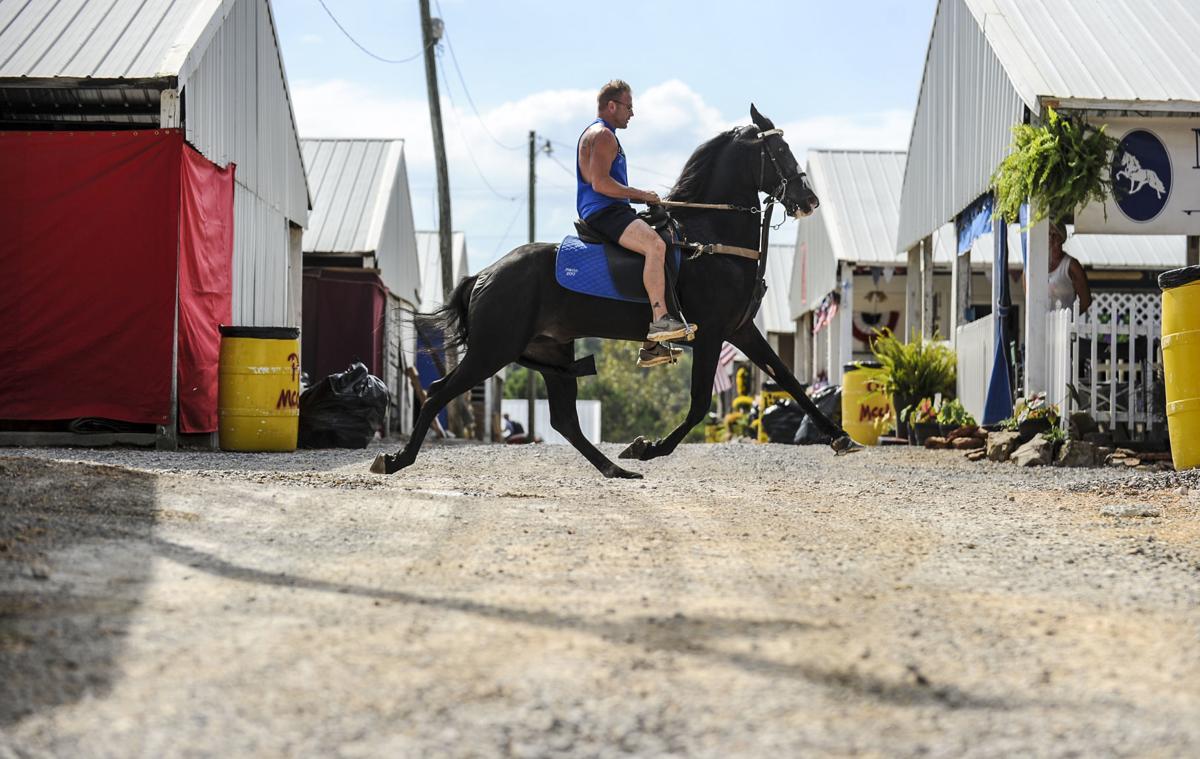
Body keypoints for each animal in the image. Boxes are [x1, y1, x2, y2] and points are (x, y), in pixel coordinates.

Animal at [371, 104, 861, 479]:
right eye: (778, 150)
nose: (809, 200)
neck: (711, 238)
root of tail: (485, 275)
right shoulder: (711, 334)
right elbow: (700, 404)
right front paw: (649, 447)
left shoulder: (740, 331)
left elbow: (789, 380)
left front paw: (840, 436)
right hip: (494, 349)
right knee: (439, 392)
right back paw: (396, 460)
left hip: (551, 351)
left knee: (565, 419)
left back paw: (614, 469)